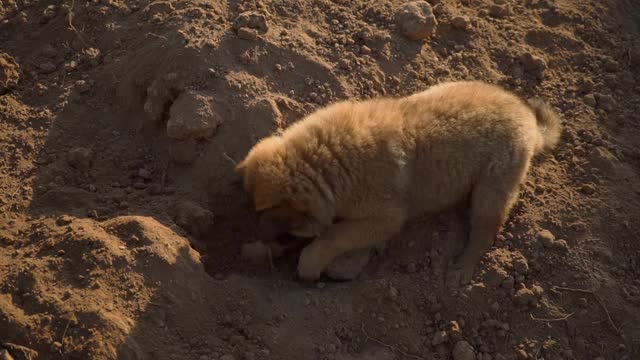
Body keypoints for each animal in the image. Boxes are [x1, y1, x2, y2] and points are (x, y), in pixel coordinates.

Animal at [235, 81, 560, 284]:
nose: (260, 237)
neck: (326, 159)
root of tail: (530, 122)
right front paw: (257, 251)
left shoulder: (384, 219)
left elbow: (334, 235)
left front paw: (309, 262)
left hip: (492, 189)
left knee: (483, 232)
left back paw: (462, 267)